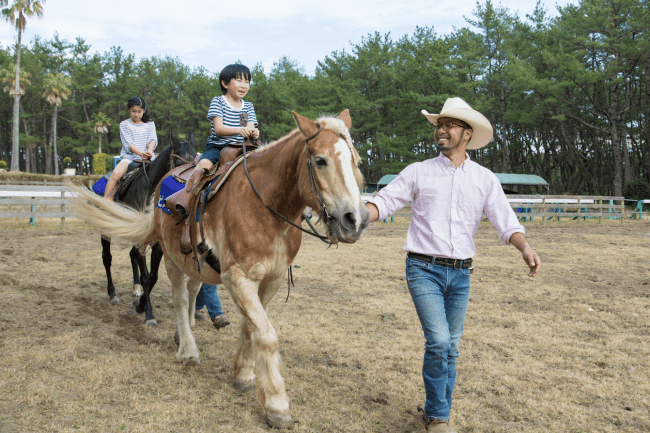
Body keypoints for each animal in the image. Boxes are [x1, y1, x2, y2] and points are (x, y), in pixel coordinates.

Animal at [101, 132, 195, 324]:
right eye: (179, 164)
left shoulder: (157, 242)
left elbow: (153, 276)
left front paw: (141, 306)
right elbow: (146, 276)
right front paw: (149, 314)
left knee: (131, 256)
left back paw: (135, 289)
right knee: (107, 258)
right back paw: (112, 293)